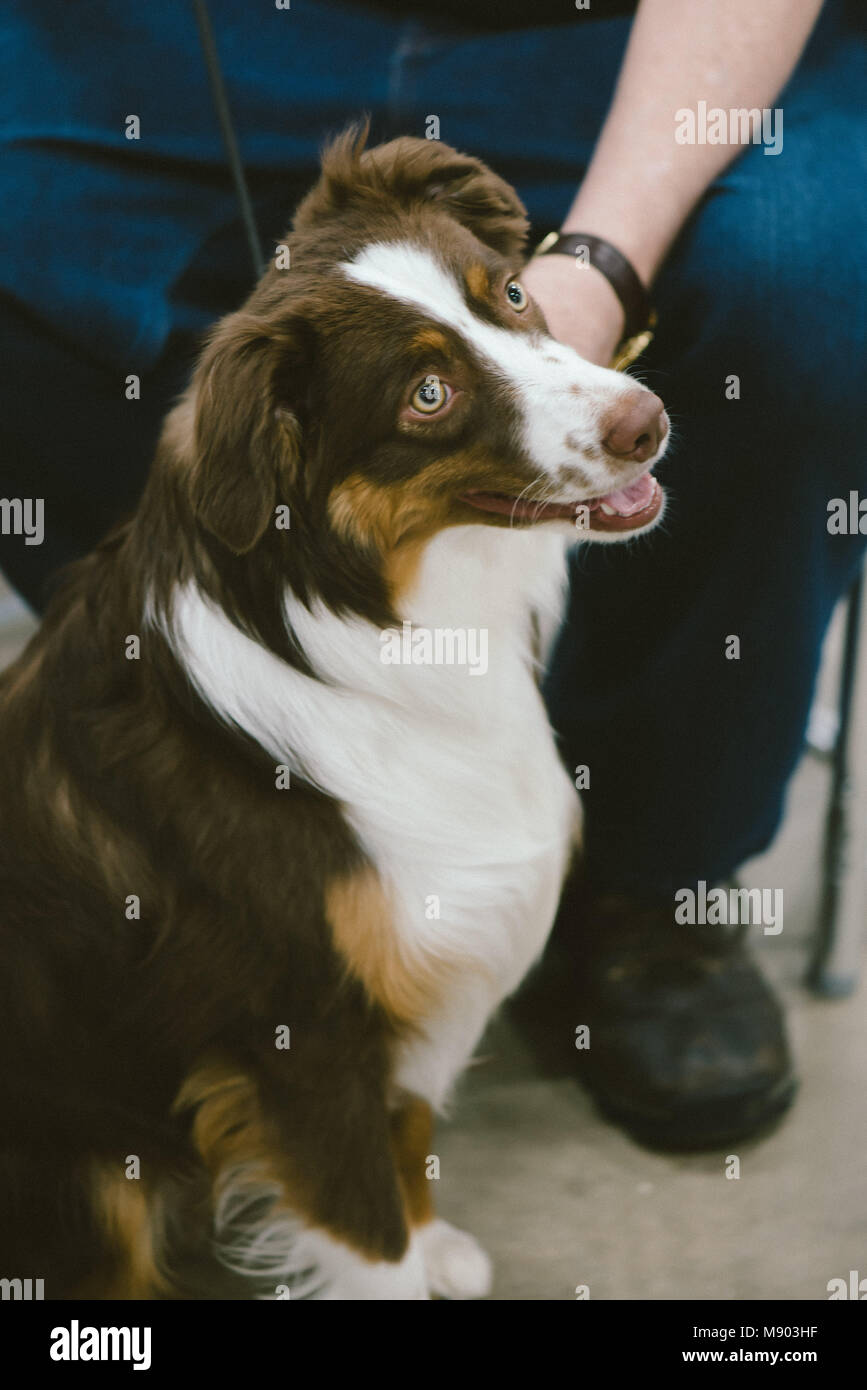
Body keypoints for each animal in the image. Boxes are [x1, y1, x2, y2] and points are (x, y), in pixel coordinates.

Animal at [0, 130, 669, 1301]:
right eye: (429, 395)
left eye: (511, 293)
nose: (647, 422)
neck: (386, 622)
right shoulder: (303, 1040)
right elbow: (368, 1234)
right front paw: (406, 1261)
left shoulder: (407, 988)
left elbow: (409, 1140)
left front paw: (435, 1243)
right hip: (88, 1180)